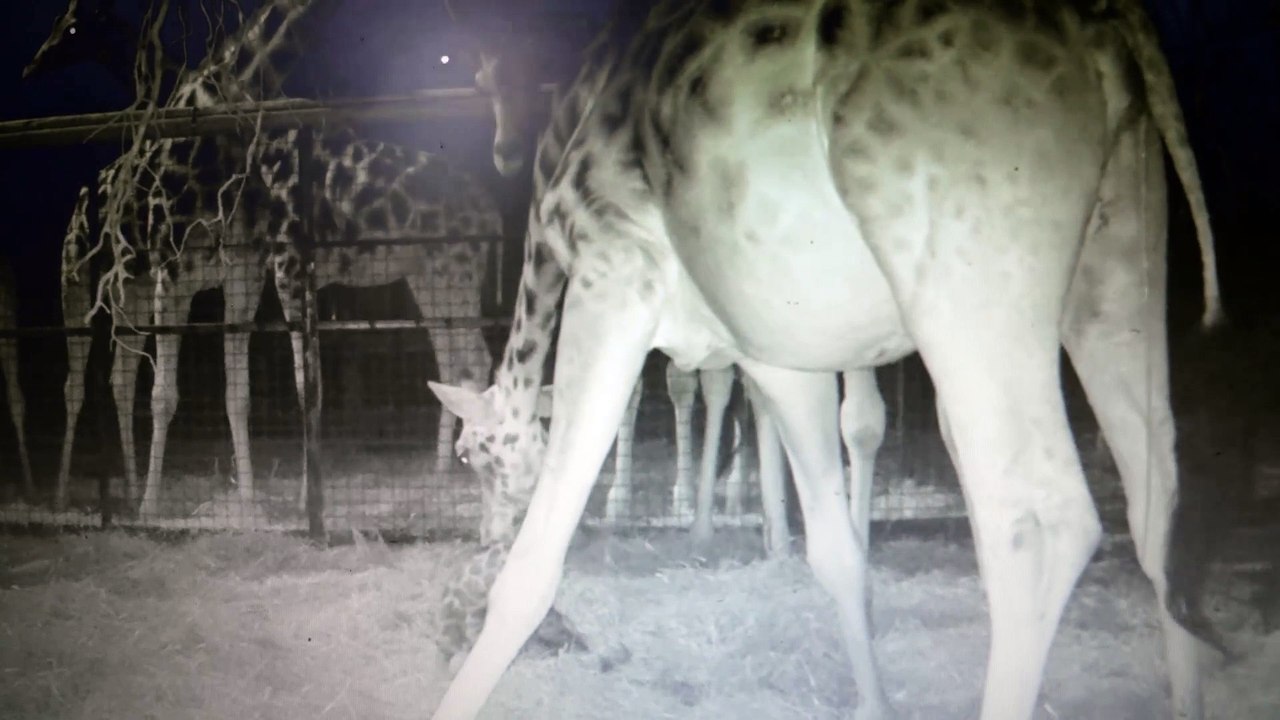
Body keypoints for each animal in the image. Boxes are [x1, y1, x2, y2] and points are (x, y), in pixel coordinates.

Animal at [428, 2, 1226, 719]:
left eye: (472, 455)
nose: (484, 534)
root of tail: (1108, 27)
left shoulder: (614, 268)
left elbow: (532, 572)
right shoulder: (779, 353)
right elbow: (836, 551)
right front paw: (871, 699)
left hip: (965, 280)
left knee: (1039, 521)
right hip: (1113, 258)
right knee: (1156, 494)